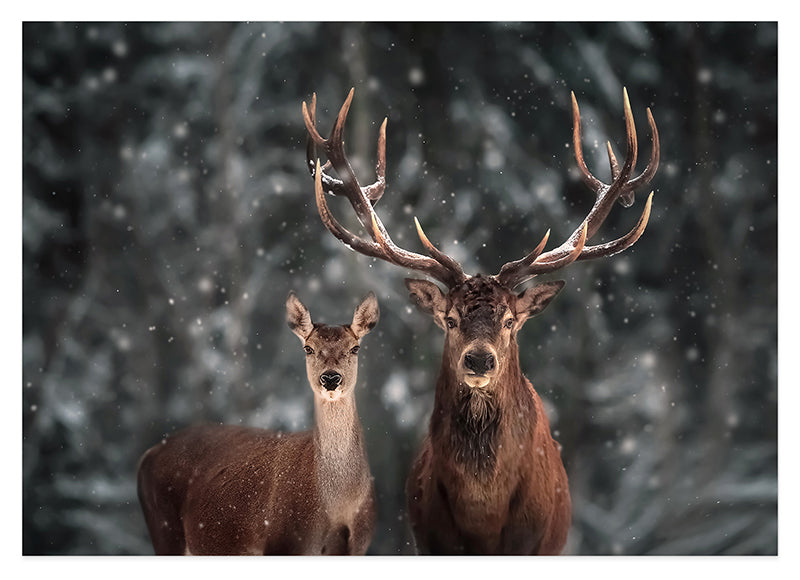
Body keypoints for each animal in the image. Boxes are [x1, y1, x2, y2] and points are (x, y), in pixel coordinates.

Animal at [136, 291, 380, 555]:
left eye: (355, 348)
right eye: (308, 348)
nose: (331, 378)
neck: (338, 505)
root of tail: (148, 454)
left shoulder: (358, 546)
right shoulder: (283, 541)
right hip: (164, 528)